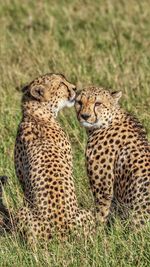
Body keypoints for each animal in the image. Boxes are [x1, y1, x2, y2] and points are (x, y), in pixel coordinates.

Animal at [75, 87, 149, 227]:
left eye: (98, 103)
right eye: (79, 102)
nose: (85, 116)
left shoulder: (104, 191)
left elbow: (101, 213)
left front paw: (98, 231)